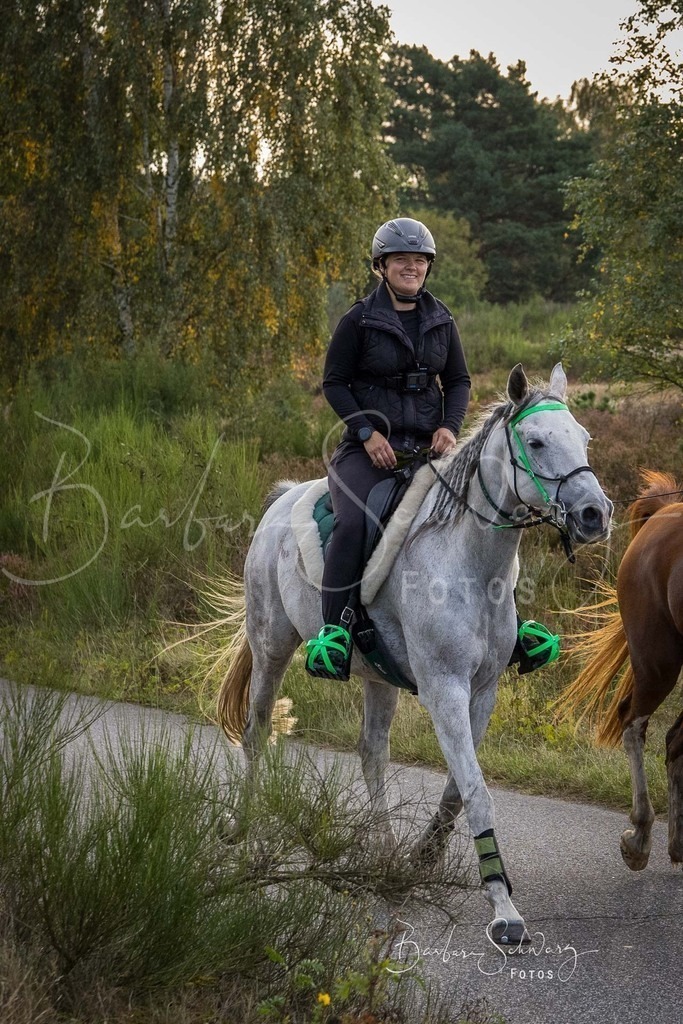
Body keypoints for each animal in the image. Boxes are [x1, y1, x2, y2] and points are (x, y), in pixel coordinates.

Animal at [214, 363, 613, 944]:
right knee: (256, 732)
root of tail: (282, 500)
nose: (594, 514)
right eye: (536, 442)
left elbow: (457, 789)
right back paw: (241, 828)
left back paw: (383, 851)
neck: (470, 563)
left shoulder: (482, 691)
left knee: (371, 753)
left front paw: (424, 856)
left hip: (377, 678)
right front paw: (503, 909)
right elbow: (476, 790)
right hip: (271, 648)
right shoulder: (444, 689)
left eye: (583, 438)